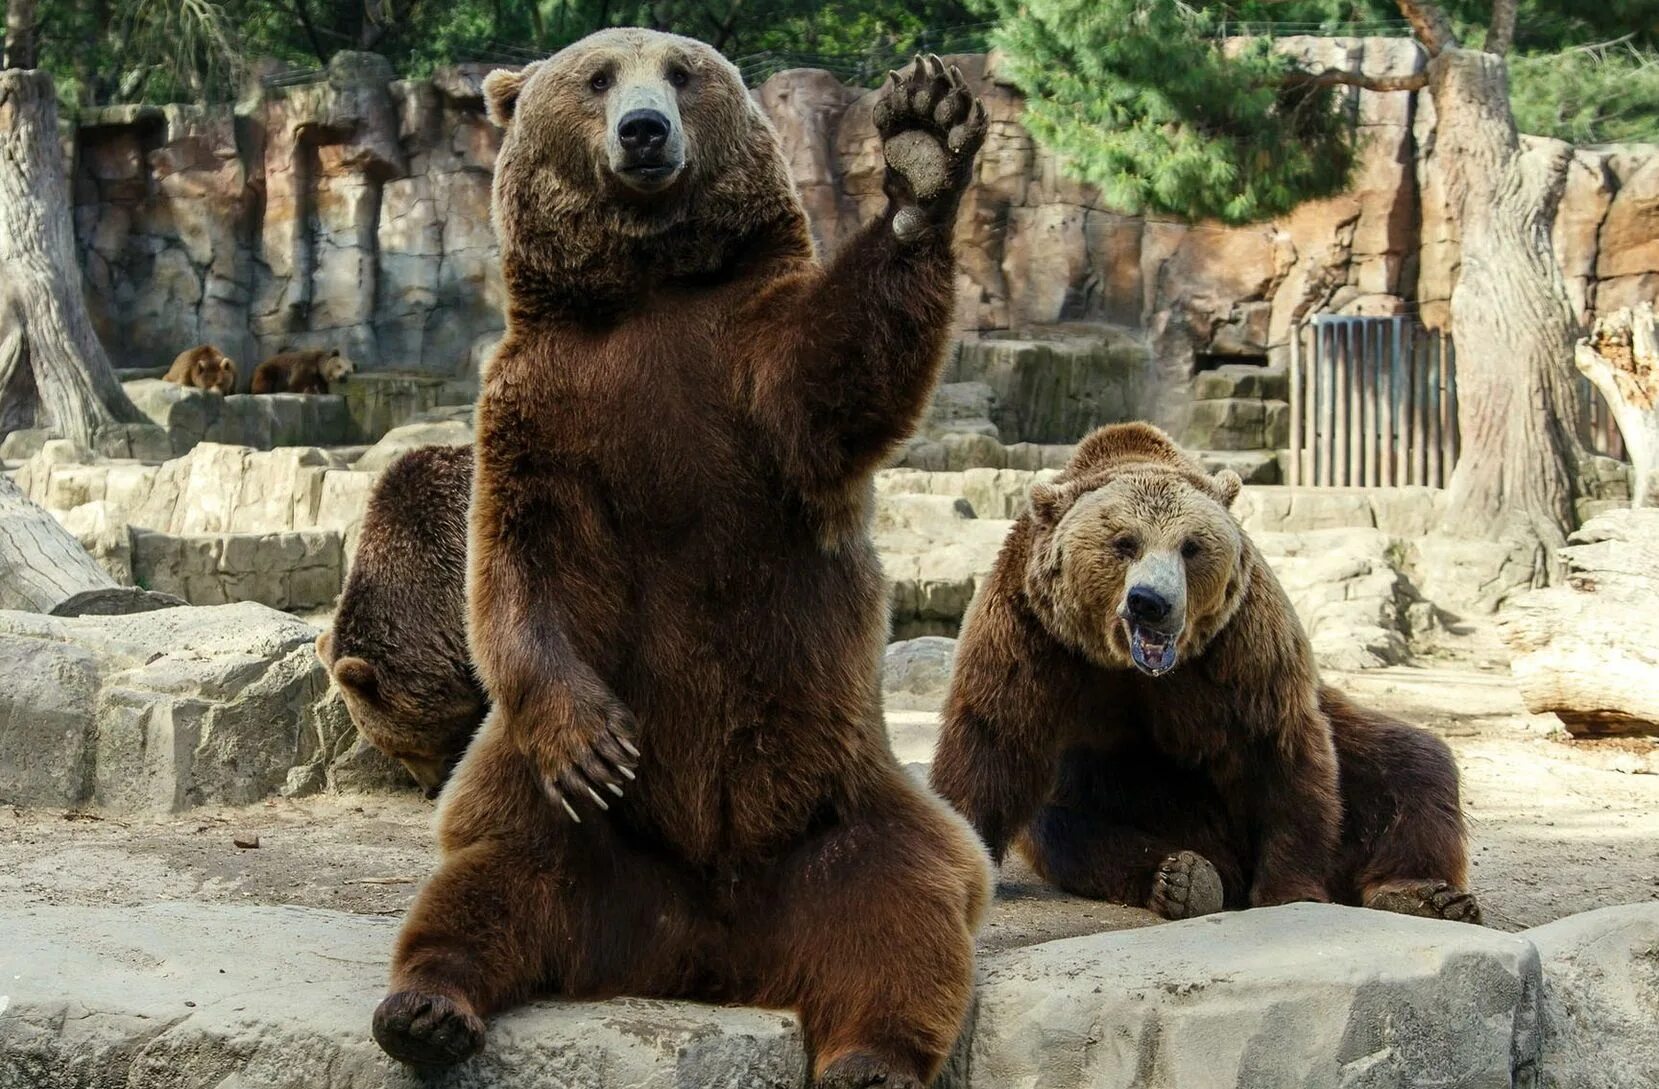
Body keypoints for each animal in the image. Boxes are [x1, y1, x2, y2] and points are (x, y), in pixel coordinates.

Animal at [373, 27, 995, 1089]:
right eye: (595, 79)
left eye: (681, 71)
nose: (643, 129)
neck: (649, 290)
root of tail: (705, 951)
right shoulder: (540, 406)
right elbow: (516, 565)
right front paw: (593, 743)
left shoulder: (745, 367)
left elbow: (840, 375)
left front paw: (920, 145)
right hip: (577, 833)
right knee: (493, 878)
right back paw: (425, 1007)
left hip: (840, 806)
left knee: (900, 909)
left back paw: (869, 1058)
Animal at [929, 421, 1486, 922]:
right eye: (1124, 542)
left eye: (1191, 545)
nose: (1151, 601)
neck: (1129, 666)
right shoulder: (1031, 630)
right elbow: (992, 741)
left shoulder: (1241, 641)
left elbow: (1279, 748)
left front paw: (1290, 890)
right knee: (1068, 827)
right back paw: (1182, 878)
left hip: (1352, 742)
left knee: (1411, 765)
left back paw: (1424, 893)